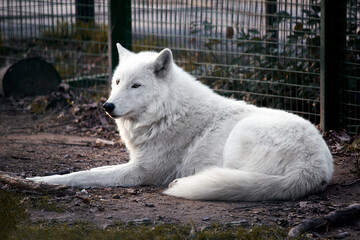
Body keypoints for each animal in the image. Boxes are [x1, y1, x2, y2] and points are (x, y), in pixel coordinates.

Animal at [28, 44, 334, 202]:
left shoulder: (141, 172)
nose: (107, 106)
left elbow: (82, 175)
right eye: (117, 82)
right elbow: (87, 170)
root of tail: (314, 166)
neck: (167, 113)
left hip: (239, 141)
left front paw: (39, 181)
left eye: (136, 86)